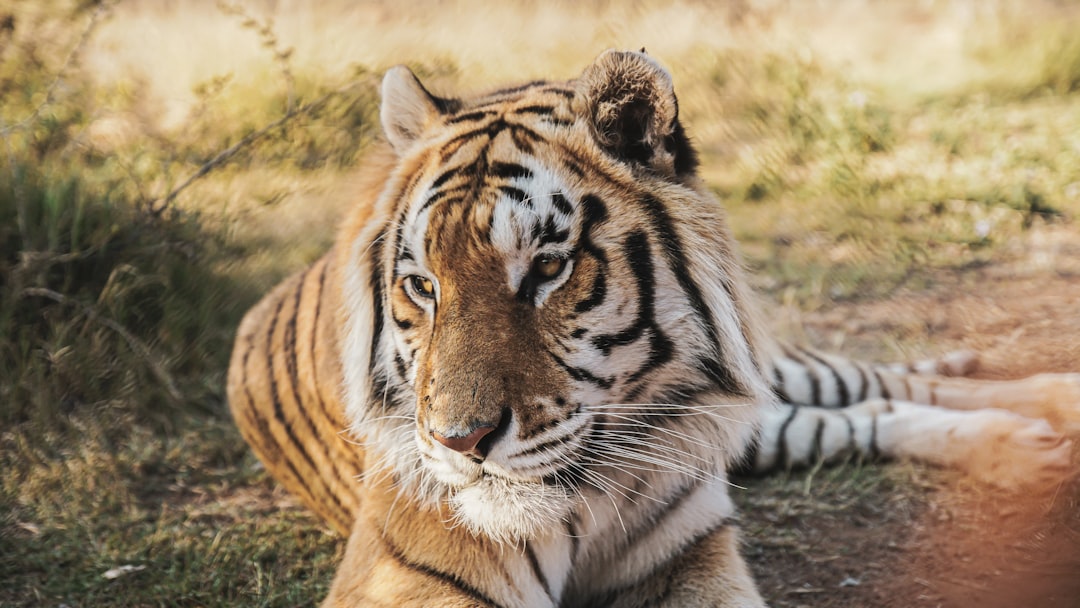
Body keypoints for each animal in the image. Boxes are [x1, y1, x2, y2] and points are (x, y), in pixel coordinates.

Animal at [223, 49, 1075, 604]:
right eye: (421, 287)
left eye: (547, 268)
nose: (460, 443)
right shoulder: (404, 574)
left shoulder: (694, 556)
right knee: (868, 410)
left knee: (876, 382)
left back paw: (1049, 406)